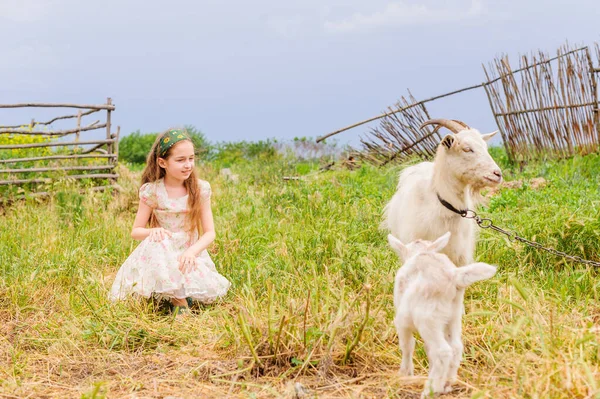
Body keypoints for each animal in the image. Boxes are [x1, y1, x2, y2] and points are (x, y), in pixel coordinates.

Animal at [390, 233, 496, 398]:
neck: (421, 253)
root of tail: (453, 276)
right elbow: (428, 350)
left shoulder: (402, 322)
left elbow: (407, 345)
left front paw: (405, 374)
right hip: (453, 315)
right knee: (456, 347)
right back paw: (447, 382)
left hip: (428, 318)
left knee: (443, 352)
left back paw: (431, 390)